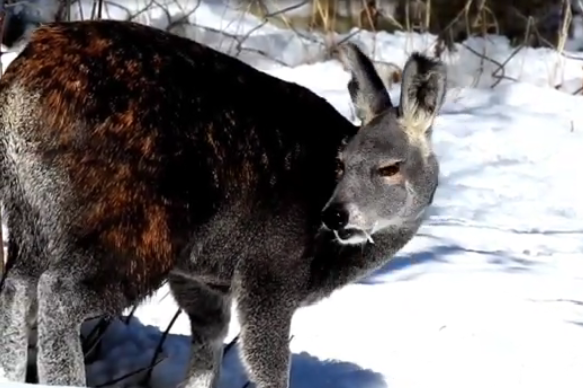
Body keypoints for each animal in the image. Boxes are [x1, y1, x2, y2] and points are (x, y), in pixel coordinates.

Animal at [0, 18, 450, 388]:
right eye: (341, 162)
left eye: (390, 167)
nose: (334, 215)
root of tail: (23, 80)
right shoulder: (269, 267)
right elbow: (266, 365)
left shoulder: (203, 282)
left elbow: (206, 357)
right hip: (140, 224)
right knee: (60, 293)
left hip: (32, 210)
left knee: (18, 284)